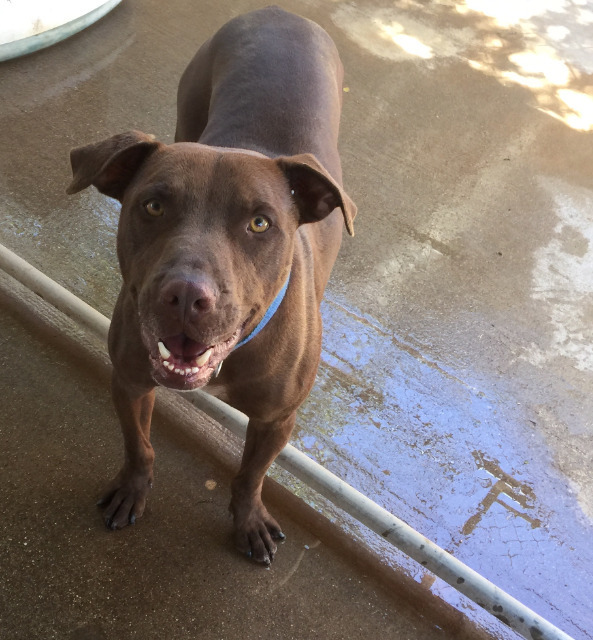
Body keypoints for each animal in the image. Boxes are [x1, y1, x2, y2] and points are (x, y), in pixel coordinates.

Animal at [69, 6, 356, 564]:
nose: (185, 295)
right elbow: (139, 446)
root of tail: (279, 12)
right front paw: (133, 490)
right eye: (153, 205)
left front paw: (249, 521)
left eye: (260, 224)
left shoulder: (276, 420)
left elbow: (250, 476)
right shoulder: (130, 380)